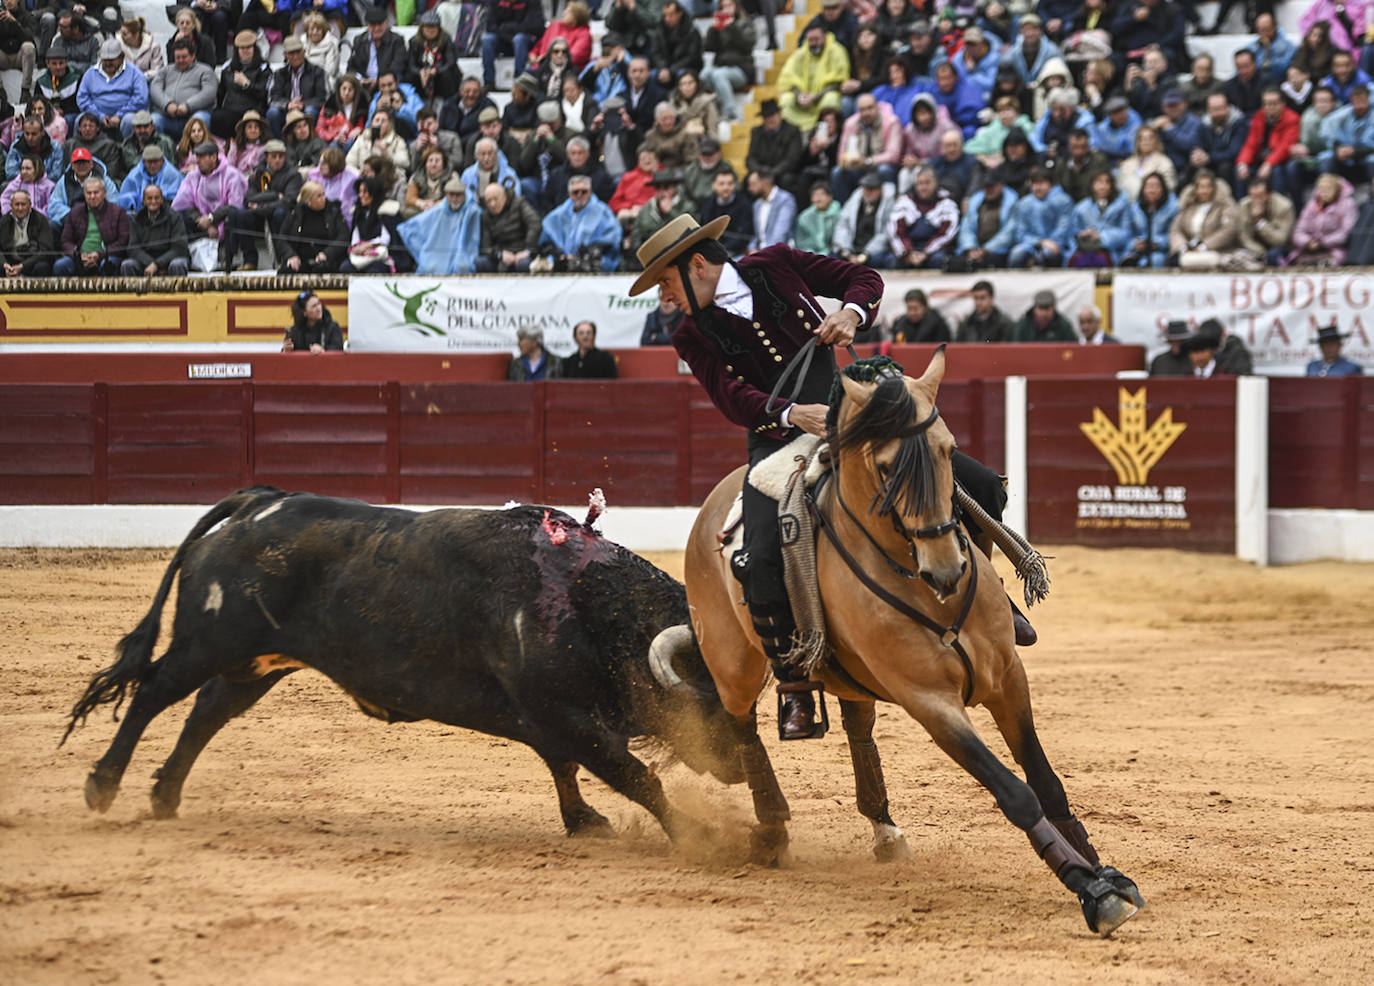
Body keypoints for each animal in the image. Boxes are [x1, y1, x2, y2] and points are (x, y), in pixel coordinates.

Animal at [66, 488, 752, 840]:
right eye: (711, 690)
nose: (744, 769)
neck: (588, 601)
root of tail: (257, 502)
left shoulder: (550, 717)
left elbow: (566, 768)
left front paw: (583, 822)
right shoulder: (566, 715)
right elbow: (635, 776)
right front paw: (700, 837)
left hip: (256, 660)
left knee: (206, 710)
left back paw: (164, 795)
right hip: (207, 641)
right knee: (154, 692)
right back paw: (103, 785)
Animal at [673, 351, 1137, 939]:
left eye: (949, 450)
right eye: (886, 466)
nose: (946, 569)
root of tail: (710, 508)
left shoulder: (1008, 677)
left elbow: (1046, 780)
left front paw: (1102, 870)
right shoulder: (930, 703)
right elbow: (1014, 790)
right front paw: (1089, 888)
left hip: (852, 679)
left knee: (858, 729)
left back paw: (884, 829)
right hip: (731, 662)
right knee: (743, 730)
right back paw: (772, 829)